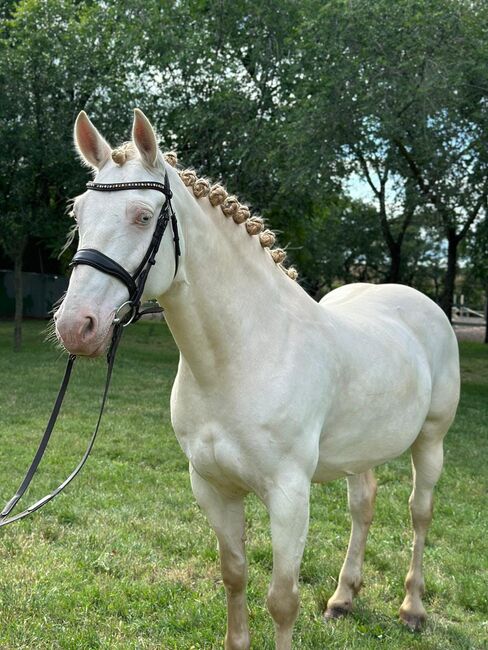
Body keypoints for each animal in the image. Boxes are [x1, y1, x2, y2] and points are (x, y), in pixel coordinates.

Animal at [55, 109, 460, 644]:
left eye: (142, 216)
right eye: (78, 214)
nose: (75, 327)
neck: (241, 358)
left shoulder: (289, 496)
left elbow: (282, 601)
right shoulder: (213, 487)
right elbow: (234, 576)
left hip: (431, 441)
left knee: (419, 513)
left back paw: (412, 608)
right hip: (362, 451)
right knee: (363, 506)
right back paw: (343, 598)